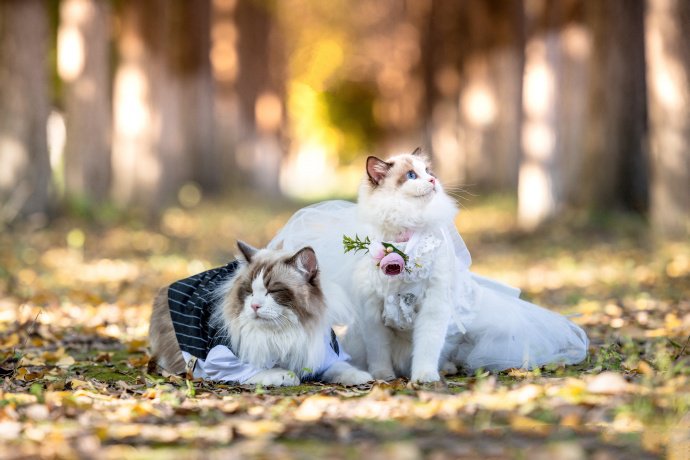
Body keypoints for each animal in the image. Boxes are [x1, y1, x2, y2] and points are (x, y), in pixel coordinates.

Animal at [146, 243, 370, 386]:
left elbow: (342, 368)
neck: (284, 332)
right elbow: (261, 370)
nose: (254, 305)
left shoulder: (322, 353)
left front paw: (362, 377)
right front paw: (285, 375)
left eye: (273, 291)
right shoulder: (220, 361)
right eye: (249, 291)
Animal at [268, 147, 584, 380]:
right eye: (411, 175)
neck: (404, 240)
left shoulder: (434, 307)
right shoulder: (372, 314)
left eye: (429, 173)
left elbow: (427, 349)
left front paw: (424, 377)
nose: (432, 181)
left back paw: (447, 369)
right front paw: (384, 377)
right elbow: (379, 354)